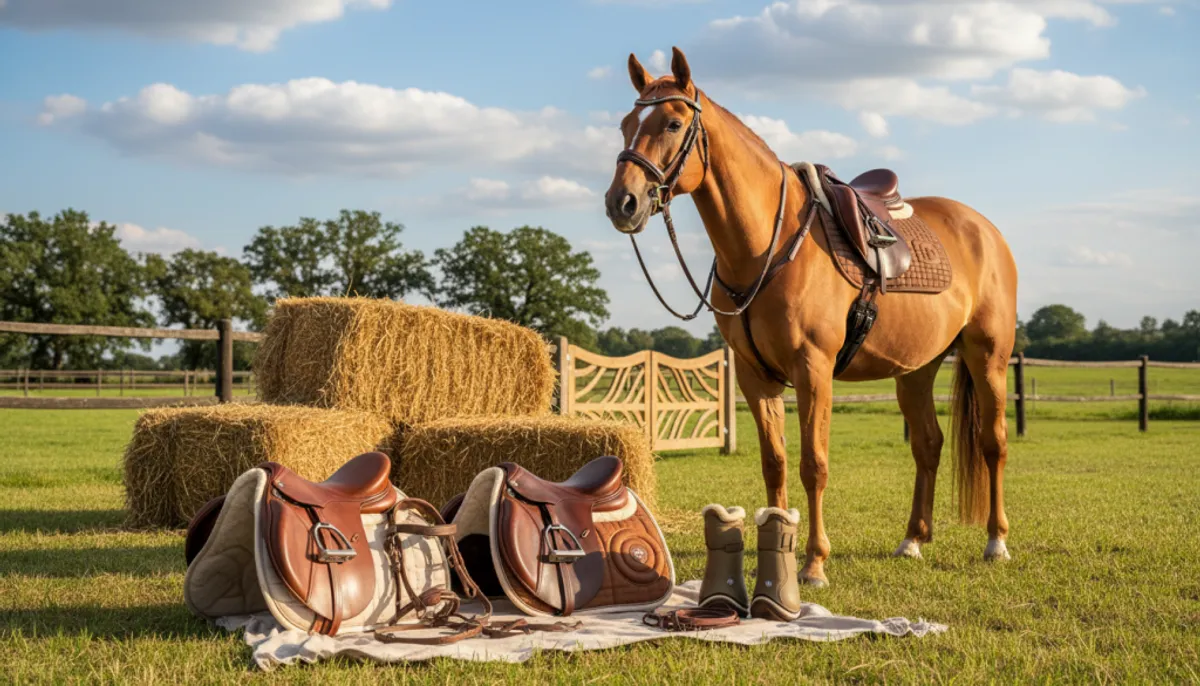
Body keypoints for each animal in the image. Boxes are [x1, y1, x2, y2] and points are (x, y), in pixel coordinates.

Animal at [604, 48, 1018, 586]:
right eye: (625, 124)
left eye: (673, 123)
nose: (622, 202)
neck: (767, 245)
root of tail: (984, 229)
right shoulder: (755, 376)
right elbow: (775, 463)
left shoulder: (813, 369)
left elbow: (813, 464)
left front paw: (814, 563)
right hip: (916, 370)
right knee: (928, 444)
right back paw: (912, 539)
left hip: (987, 358)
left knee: (993, 444)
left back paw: (996, 542)